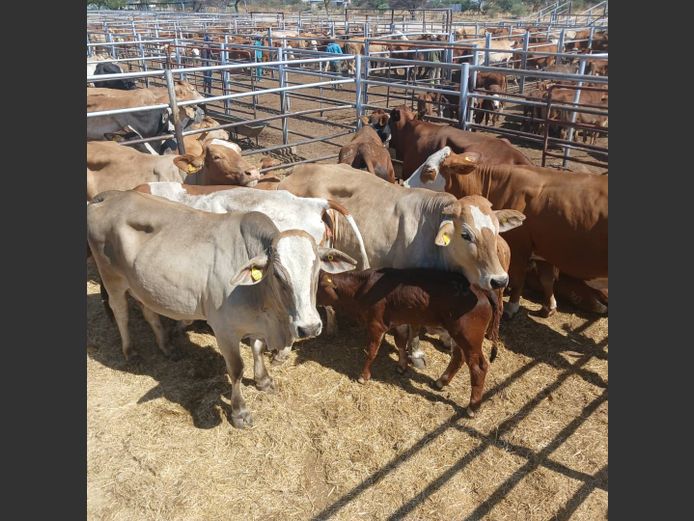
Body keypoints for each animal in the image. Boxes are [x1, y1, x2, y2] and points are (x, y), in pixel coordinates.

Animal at [87, 190, 357, 428]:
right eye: (279, 275)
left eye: (316, 270)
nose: (310, 327)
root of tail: (110, 196)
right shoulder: (224, 329)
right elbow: (236, 370)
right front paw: (240, 413)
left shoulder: (256, 325)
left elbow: (257, 349)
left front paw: (263, 380)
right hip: (112, 279)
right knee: (121, 313)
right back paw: (131, 352)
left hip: (143, 285)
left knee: (149, 312)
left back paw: (167, 347)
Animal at [316, 268, 498, 417]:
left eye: (316, 288)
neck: (363, 287)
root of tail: (480, 290)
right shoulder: (399, 321)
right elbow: (400, 343)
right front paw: (402, 365)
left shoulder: (376, 324)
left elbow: (372, 351)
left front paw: (363, 376)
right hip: (459, 335)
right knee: (458, 357)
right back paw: (441, 381)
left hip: (469, 337)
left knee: (478, 367)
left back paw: (472, 407)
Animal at [403, 149, 607, 317]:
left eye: (429, 170)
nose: (404, 185)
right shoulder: (545, 251)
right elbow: (547, 280)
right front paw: (549, 307)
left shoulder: (520, 247)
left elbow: (518, 278)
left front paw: (512, 306)